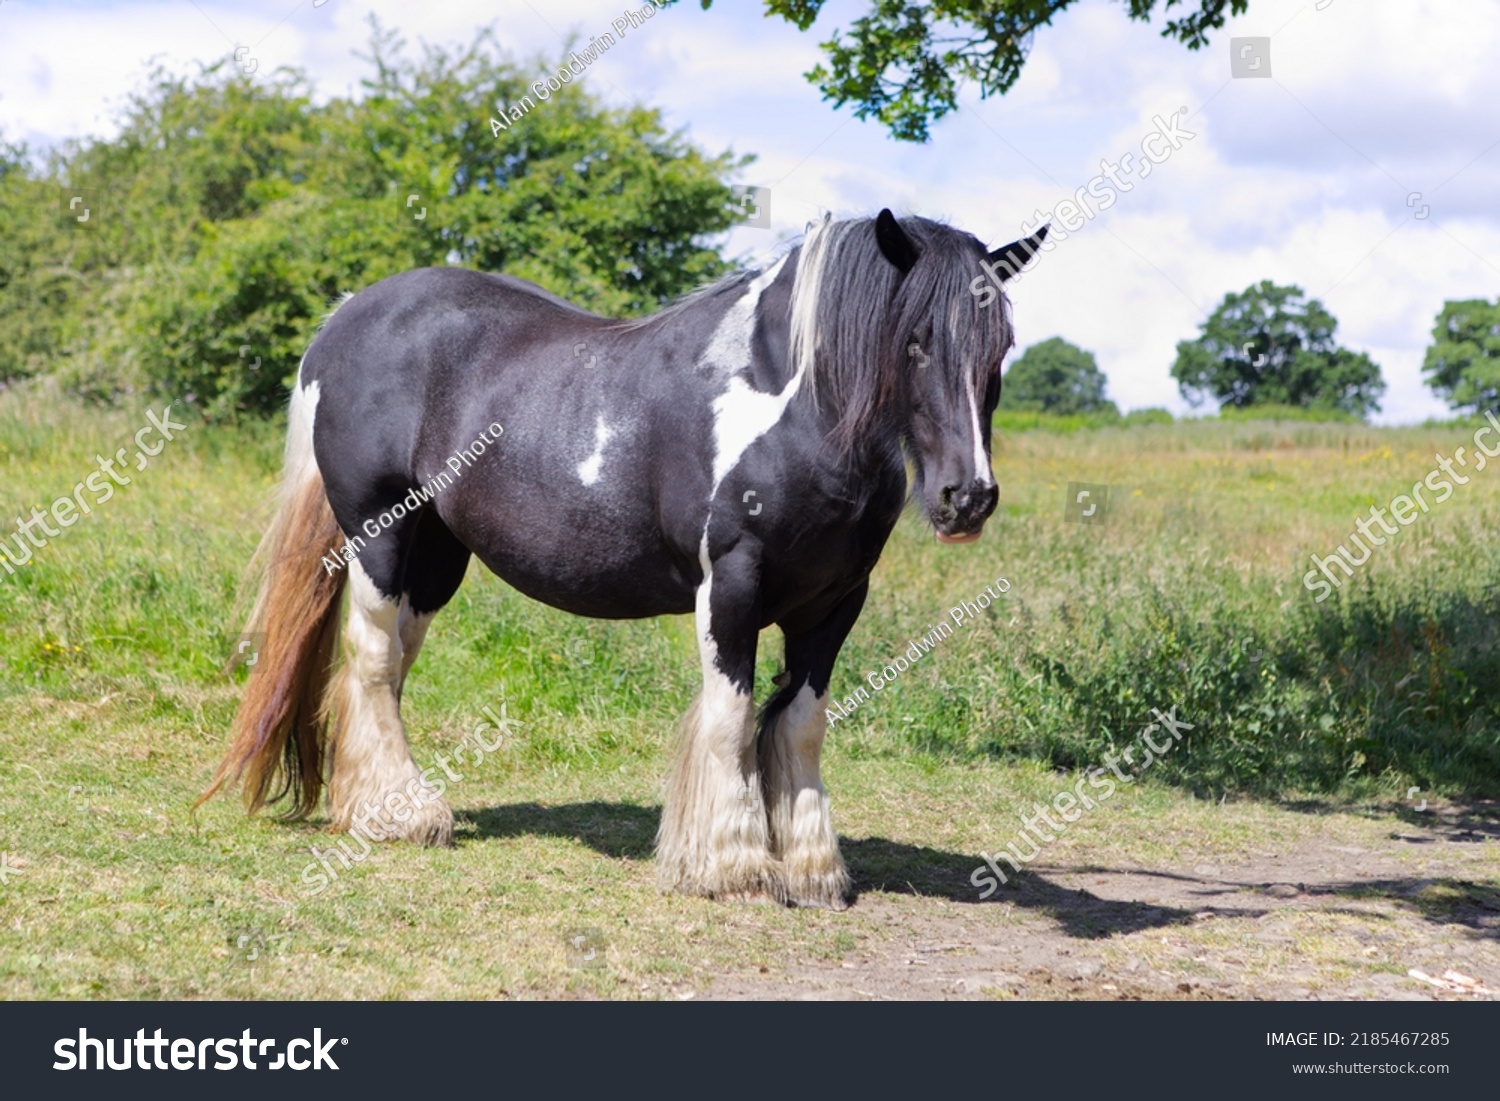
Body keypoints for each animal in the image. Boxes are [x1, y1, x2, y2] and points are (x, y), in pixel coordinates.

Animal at [202, 211, 1044, 912]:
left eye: (1000, 347)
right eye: (914, 339)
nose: (967, 496)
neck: (790, 409)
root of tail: (346, 316)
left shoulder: (836, 601)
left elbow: (801, 724)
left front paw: (813, 870)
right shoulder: (731, 584)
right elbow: (732, 717)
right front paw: (733, 866)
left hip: (437, 558)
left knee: (387, 672)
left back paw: (375, 802)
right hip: (381, 534)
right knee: (372, 659)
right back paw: (405, 815)